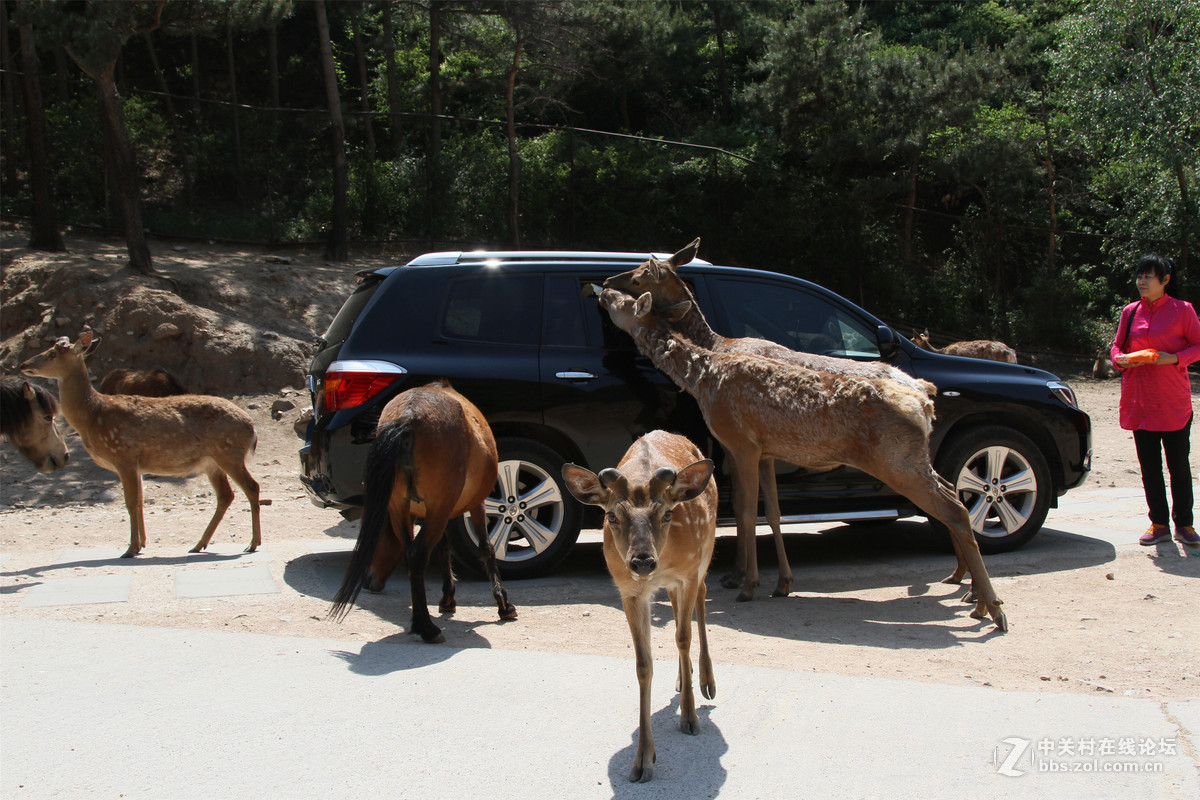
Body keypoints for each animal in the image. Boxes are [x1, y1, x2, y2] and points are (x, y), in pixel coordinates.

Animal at [21, 331, 261, 556]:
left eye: (52, 354)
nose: (24, 364)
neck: (92, 417)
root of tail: (252, 428)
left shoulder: (123, 455)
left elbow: (130, 502)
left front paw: (131, 548)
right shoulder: (136, 464)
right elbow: (140, 500)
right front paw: (142, 543)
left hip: (229, 453)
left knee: (252, 487)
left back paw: (252, 543)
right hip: (212, 463)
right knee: (226, 495)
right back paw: (199, 544)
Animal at [331, 381, 518, 642]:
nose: (369, 580)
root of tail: (409, 416)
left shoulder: (432, 512)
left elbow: (443, 547)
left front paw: (448, 598)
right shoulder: (472, 504)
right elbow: (486, 548)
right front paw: (503, 604)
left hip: (400, 507)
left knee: (411, 554)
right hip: (439, 507)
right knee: (417, 553)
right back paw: (426, 627)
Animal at [559, 431, 710, 782]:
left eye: (666, 514)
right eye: (612, 516)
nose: (642, 561)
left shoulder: (686, 573)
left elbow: (683, 638)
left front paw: (689, 717)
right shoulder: (629, 590)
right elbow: (643, 665)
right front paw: (643, 760)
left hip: (705, 553)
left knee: (701, 597)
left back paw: (705, 684)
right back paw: (684, 678)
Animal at [597, 287, 1003, 633]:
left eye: (627, 301)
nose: (602, 290)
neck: (702, 378)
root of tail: (925, 401)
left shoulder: (742, 443)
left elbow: (747, 512)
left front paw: (749, 586)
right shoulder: (764, 451)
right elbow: (770, 512)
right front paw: (778, 582)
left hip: (897, 460)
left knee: (955, 508)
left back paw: (992, 608)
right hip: (915, 459)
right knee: (951, 495)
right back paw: (968, 590)